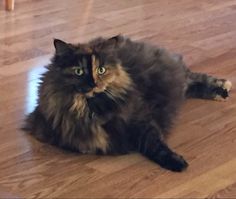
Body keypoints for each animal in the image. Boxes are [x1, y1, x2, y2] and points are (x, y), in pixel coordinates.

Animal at [22, 35, 232, 172]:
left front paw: (176, 162)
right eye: (79, 72)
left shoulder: (141, 119)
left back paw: (222, 88)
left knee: (191, 77)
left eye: (101, 70)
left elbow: (155, 144)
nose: (93, 84)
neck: (91, 106)